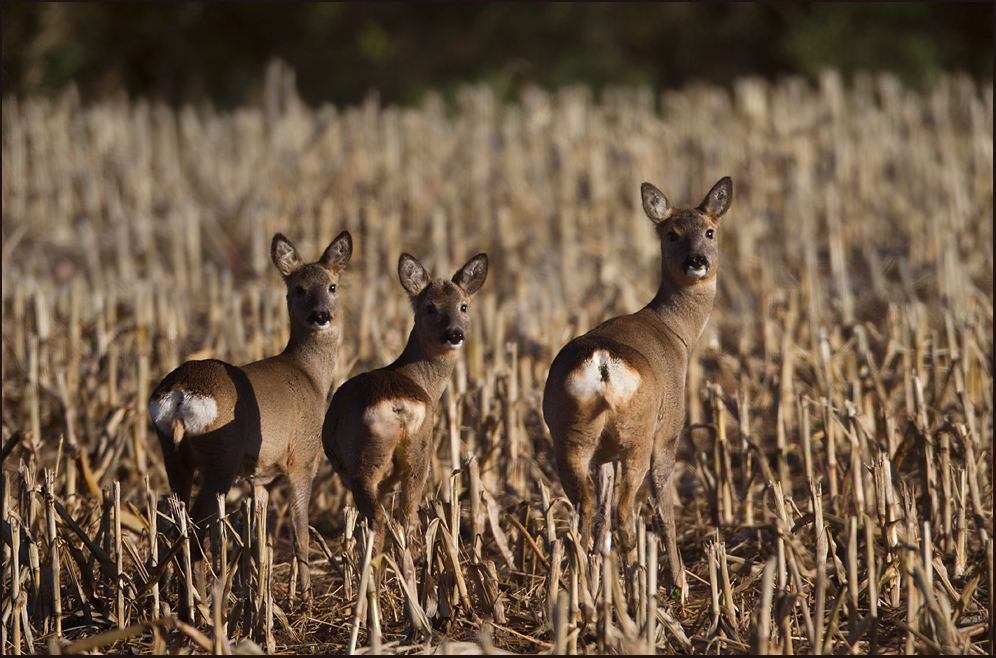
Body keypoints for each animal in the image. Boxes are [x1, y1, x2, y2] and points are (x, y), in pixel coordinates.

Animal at [146, 232, 352, 604]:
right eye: (299, 288)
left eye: (332, 286)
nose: (321, 315)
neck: (309, 375)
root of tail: (180, 393)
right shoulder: (303, 458)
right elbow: (300, 532)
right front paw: (305, 597)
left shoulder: (260, 478)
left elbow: (258, 540)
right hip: (220, 459)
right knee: (196, 529)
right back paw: (203, 603)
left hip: (174, 455)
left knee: (176, 523)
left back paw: (181, 598)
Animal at [320, 250, 488, 560]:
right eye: (430, 307)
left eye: (463, 306)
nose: (454, 334)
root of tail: (398, 407)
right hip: (419, 452)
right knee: (407, 516)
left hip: (364, 458)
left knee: (375, 519)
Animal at [544, 177, 732, 596]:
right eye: (672, 233)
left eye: (709, 231)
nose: (697, 261)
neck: (676, 332)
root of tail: (601, 363)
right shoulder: (670, 430)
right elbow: (664, 508)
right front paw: (680, 583)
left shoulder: (605, 455)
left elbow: (599, 518)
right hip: (638, 436)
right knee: (626, 514)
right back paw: (639, 590)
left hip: (571, 436)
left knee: (584, 517)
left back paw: (584, 592)